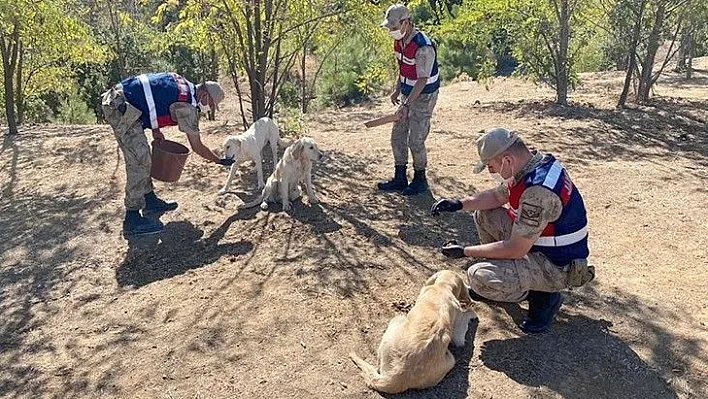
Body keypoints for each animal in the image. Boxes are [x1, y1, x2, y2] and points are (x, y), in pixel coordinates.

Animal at [348, 270, 476, 396]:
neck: (442, 287)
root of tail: (397, 375)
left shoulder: (459, 334)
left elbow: (467, 315)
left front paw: (472, 313)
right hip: (450, 361)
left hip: (397, 320)